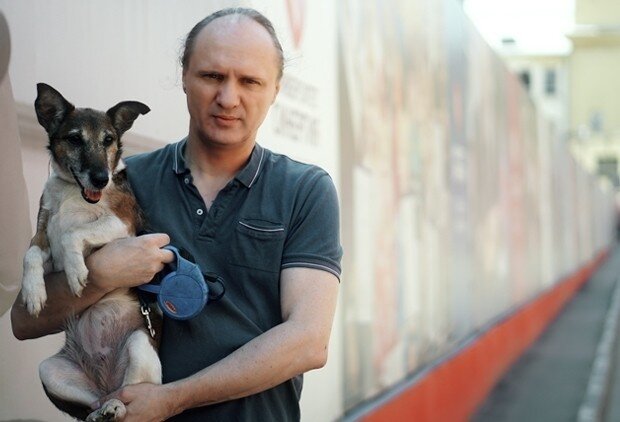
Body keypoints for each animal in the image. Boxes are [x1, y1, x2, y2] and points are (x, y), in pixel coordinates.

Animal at [20, 83, 162, 421]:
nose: (101, 178)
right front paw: (33, 293)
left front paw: (76, 272)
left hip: (139, 343)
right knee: (93, 403)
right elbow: (30, 255)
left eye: (108, 140)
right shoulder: (43, 235)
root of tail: (105, 382)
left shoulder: (122, 225)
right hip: (51, 370)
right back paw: (100, 412)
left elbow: (73, 233)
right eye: (74, 139)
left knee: (130, 397)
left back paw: (116, 407)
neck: (73, 192)